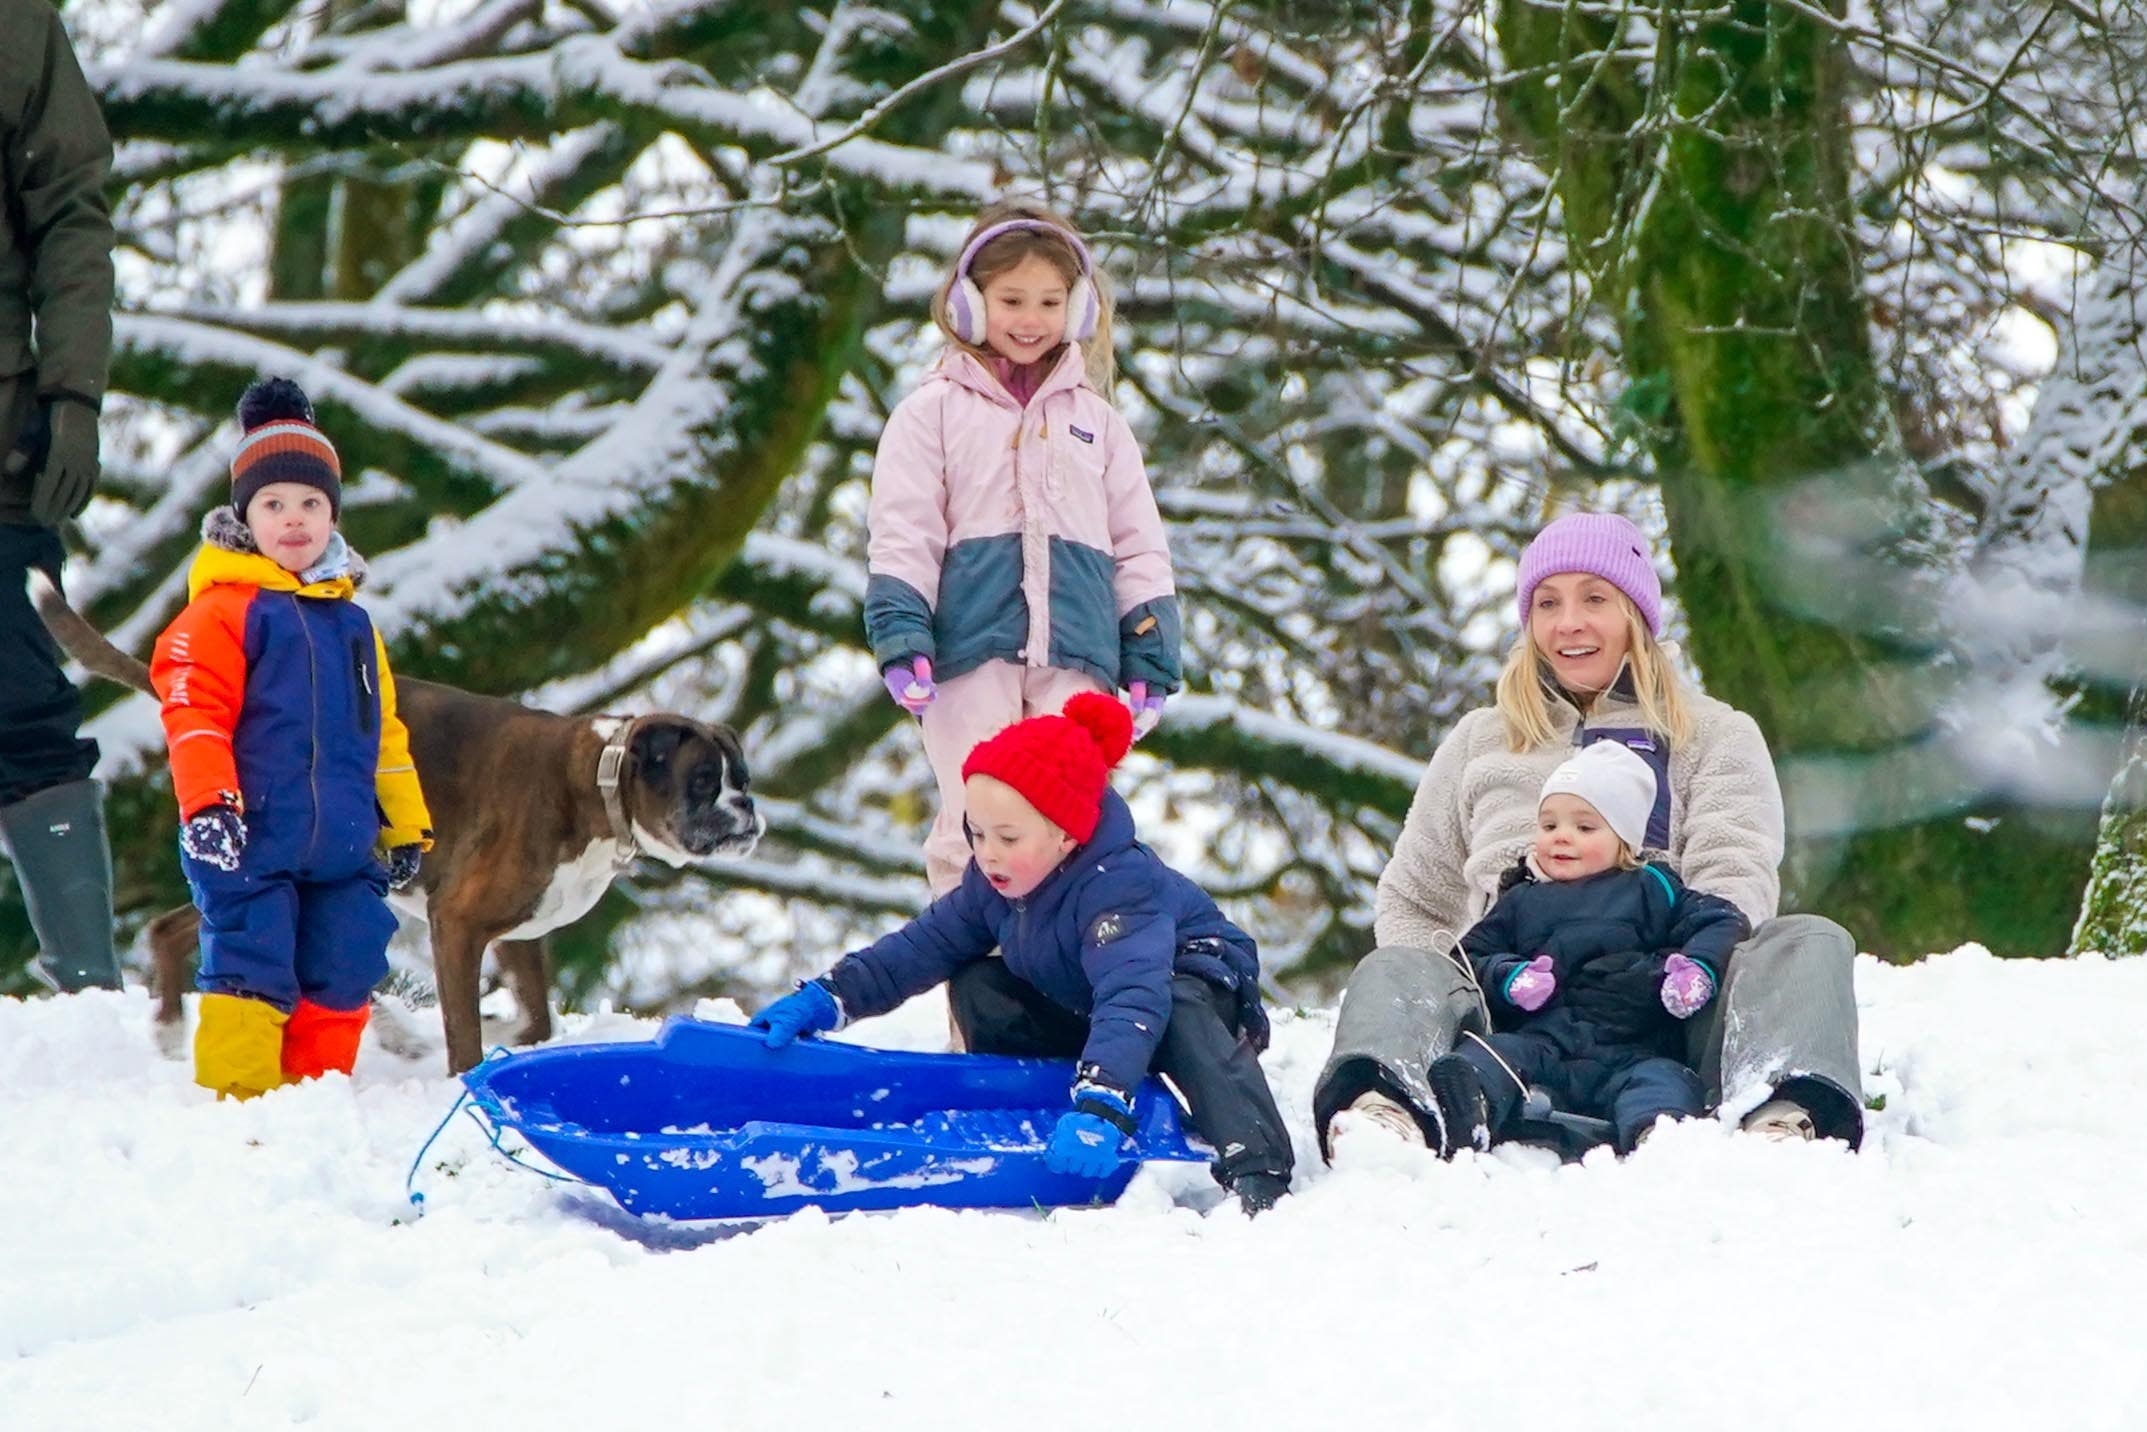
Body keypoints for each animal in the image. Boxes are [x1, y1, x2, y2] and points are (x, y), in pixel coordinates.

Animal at [33, 571, 764, 1073]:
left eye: (744, 778)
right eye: (704, 782)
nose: (748, 811)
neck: (595, 782)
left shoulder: (518, 933)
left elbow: (532, 1022)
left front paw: (429, 1034)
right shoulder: (459, 920)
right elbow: (467, 1032)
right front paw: (455, 1072)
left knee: (180, 931)